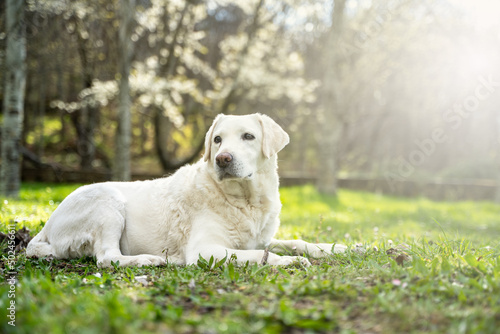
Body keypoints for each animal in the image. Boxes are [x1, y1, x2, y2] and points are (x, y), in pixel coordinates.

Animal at [26, 113, 348, 268]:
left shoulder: (261, 237)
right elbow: (261, 255)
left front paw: (340, 247)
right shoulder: (205, 249)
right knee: (106, 257)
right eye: (217, 140)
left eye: (248, 136)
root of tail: (46, 227)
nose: (222, 158)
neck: (245, 199)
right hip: (108, 201)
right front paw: (290, 261)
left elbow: (296, 241)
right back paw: (151, 260)